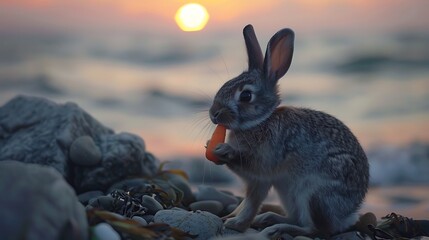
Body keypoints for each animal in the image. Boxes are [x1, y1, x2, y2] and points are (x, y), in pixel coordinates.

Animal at [207, 24, 368, 238]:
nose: (214, 113)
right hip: (288, 193)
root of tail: (347, 216)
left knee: (314, 229)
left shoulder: (262, 169)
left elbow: (251, 201)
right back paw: (268, 219)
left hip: (314, 196)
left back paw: (277, 227)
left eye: (246, 95)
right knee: (297, 218)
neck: (261, 122)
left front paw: (236, 223)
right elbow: (249, 202)